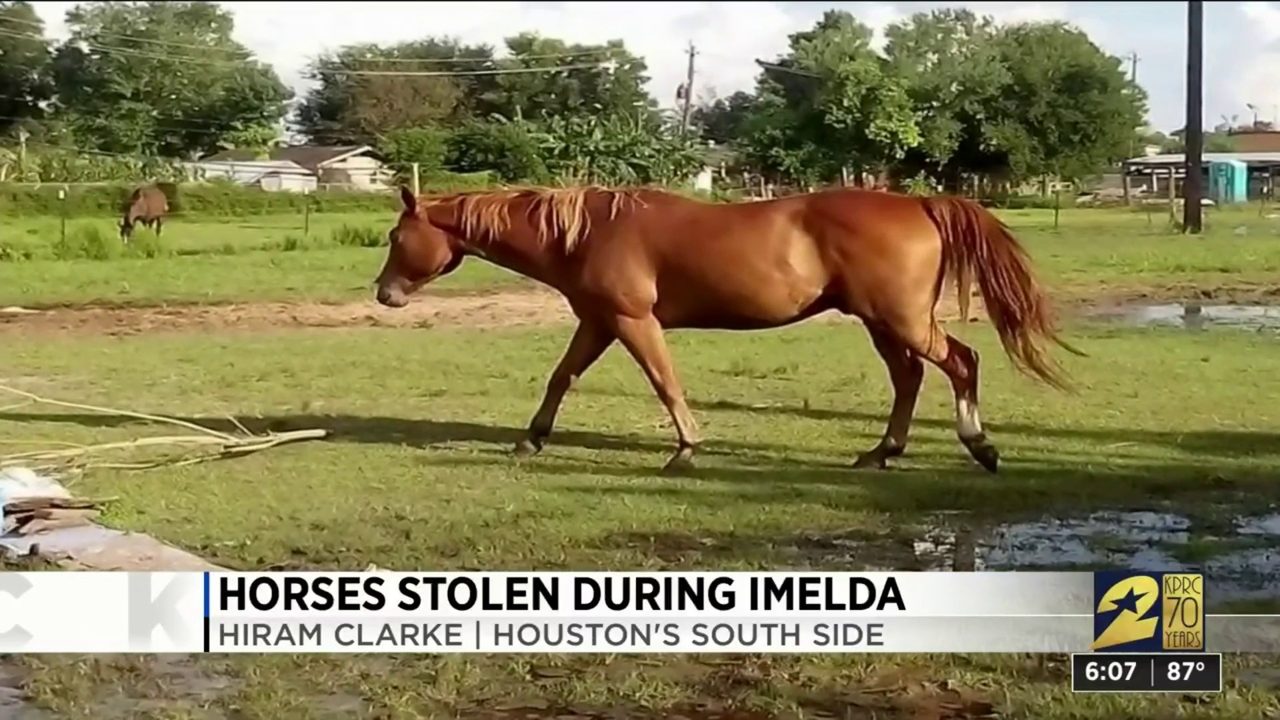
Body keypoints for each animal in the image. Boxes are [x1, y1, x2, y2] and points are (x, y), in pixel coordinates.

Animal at [374, 184, 1081, 474]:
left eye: (394, 237)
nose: (384, 294)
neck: (587, 232)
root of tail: (919, 203)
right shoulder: (599, 322)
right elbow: (561, 377)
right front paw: (531, 439)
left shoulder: (632, 321)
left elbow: (665, 382)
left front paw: (685, 448)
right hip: (883, 322)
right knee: (908, 379)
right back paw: (881, 452)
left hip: (901, 319)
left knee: (959, 362)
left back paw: (980, 446)